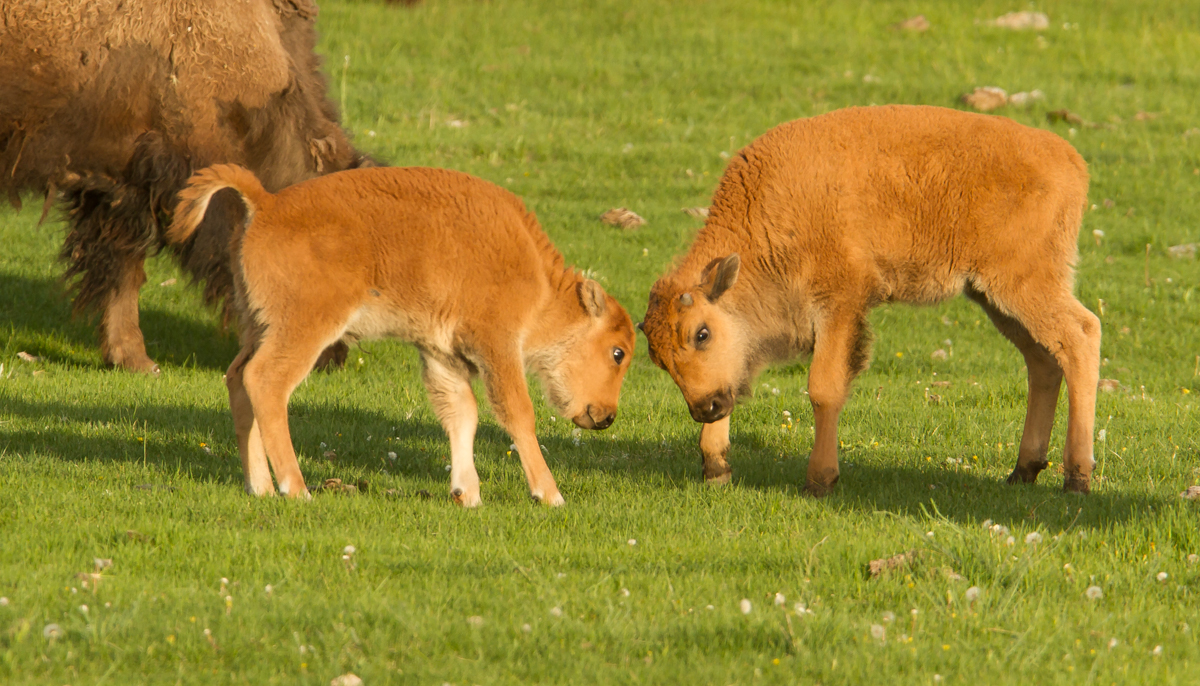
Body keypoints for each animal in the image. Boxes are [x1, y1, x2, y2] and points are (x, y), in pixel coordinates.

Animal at [168, 164, 636, 505]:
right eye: (617, 353)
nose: (606, 416)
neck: (541, 284)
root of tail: (266, 203)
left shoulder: (442, 354)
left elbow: (461, 414)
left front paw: (467, 494)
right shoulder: (496, 346)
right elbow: (517, 413)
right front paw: (550, 494)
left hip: (256, 324)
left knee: (237, 379)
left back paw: (260, 487)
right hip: (305, 327)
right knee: (266, 382)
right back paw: (295, 489)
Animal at [641, 105, 1100, 496]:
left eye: (701, 333)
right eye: (659, 359)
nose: (705, 408)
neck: (770, 215)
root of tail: (1071, 160)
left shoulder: (839, 305)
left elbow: (824, 388)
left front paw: (819, 481)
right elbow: (738, 379)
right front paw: (716, 470)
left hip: (1022, 285)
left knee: (1081, 335)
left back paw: (1076, 478)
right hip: (995, 298)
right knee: (1043, 360)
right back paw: (1023, 471)